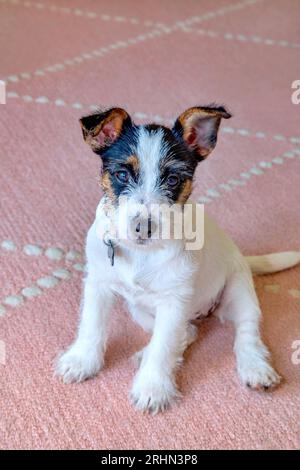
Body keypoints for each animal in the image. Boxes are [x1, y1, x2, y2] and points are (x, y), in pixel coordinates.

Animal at [55, 104, 300, 414]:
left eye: (172, 179)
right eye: (122, 174)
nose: (143, 227)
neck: (142, 254)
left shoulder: (174, 300)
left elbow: (165, 346)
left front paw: (152, 388)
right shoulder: (98, 284)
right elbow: (92, 324)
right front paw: (82, 360)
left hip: (239, 292)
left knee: (246, 331)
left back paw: (255, 367)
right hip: (139, 309)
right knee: (188, 332)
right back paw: (146, 353)